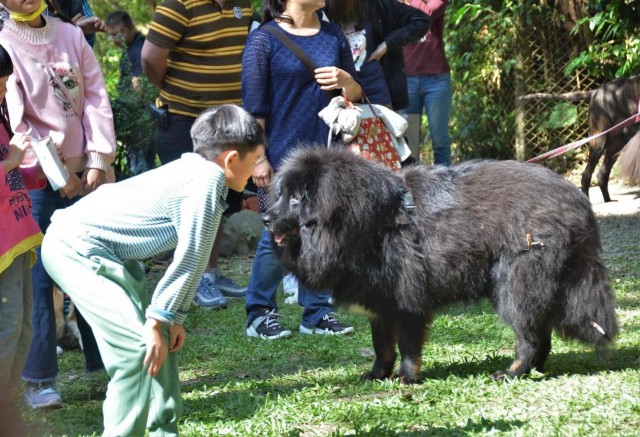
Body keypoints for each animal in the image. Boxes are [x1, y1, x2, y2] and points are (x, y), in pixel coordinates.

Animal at [262, 148, 616, 384]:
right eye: (280, 194)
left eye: (296, 199)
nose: (265, 218)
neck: (368, 224)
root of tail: (578, 202)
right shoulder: (380, 305)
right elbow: (382, 347)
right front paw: (377, 375)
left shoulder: (406, 301)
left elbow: (407, 346)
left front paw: (405, 377)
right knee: (541, 333)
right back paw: (532, 370)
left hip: (516, 282)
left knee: (529, 335)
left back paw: (511, 371)